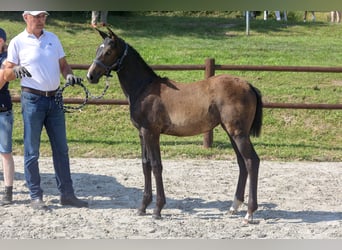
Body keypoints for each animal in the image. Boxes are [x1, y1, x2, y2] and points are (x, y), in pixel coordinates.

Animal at [87, 27, 264, 223]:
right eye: (97, 49)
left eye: (108, 52)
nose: (90, 76)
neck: (144, 89)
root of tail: (248, 85)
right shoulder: (142, 133)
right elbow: (145, 165)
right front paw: (142, 207)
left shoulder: (151, 133)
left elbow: (156, 166)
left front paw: (157, 209)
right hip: (231, 132)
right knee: (242, 163)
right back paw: (234, 207)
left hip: (238, 133)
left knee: (251, 161)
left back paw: (249, 213)